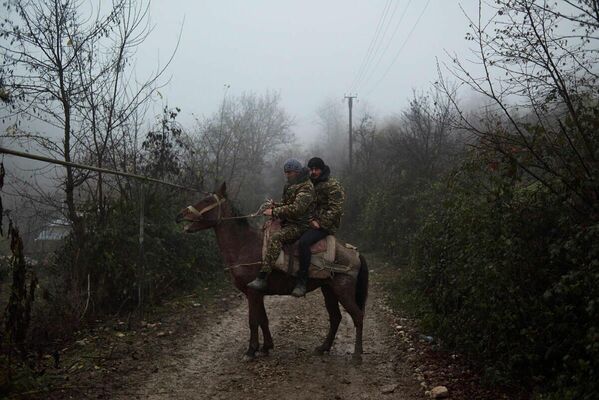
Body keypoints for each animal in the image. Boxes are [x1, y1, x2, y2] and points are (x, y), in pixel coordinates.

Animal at [176, 183, 368, 360]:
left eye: (207, 201)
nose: (180, 215)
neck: (244, 246)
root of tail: (355, 253)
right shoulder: (256, 293)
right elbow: (263, 319)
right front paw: (266, 347)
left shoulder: (252, 292)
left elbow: (253, 321)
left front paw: (251, 351)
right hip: (329, 290)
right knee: (336, 317)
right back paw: (323, 347)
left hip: (343, 291)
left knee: (357, 316)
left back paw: (357, 354)